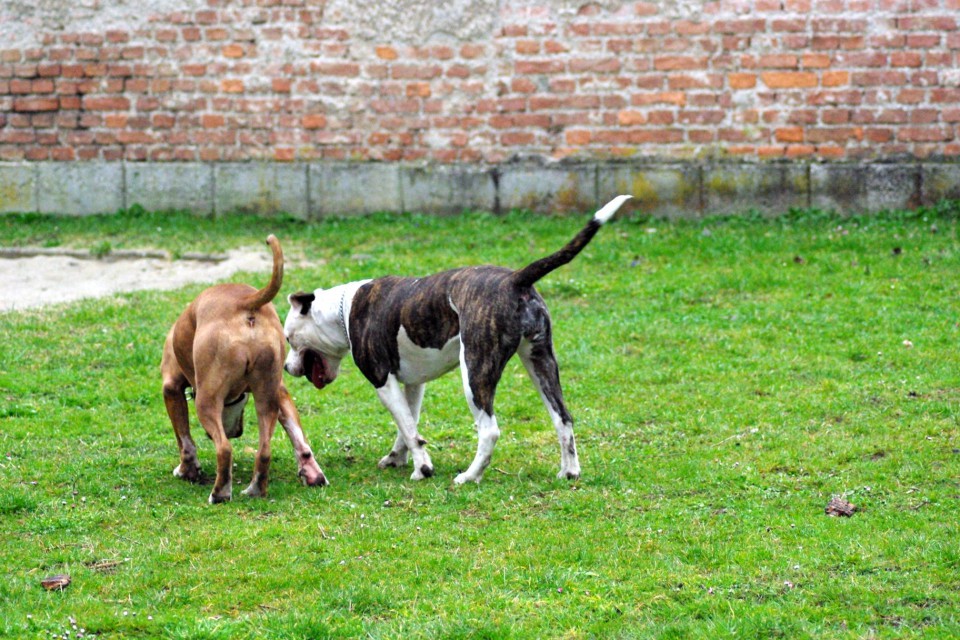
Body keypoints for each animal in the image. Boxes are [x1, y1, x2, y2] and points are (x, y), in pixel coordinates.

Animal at [163, 232, 328, 502]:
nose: (237, 431)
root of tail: (245, 302)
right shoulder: (280, 391)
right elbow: (298, 438)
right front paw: (310, 470)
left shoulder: (172, 388)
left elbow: (184, 440)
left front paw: (187, 471)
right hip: (267, 397)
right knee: (264, 450)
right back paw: (256, 488)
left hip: (206, 401)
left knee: (224, 448)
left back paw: (220, 493)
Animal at [284, 196, 632, 484]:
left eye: (288, 338)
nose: (286, 368)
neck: (342, 309)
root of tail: (515, 278)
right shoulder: (412, 384)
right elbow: (408, 425)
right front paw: (398, 458)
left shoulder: (382, 380)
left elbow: (408, 427)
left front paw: (422, 469)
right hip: (540, 362)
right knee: (563, 418)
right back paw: (569, 471)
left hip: (475, 371)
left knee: (489, 430)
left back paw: (469, 476)